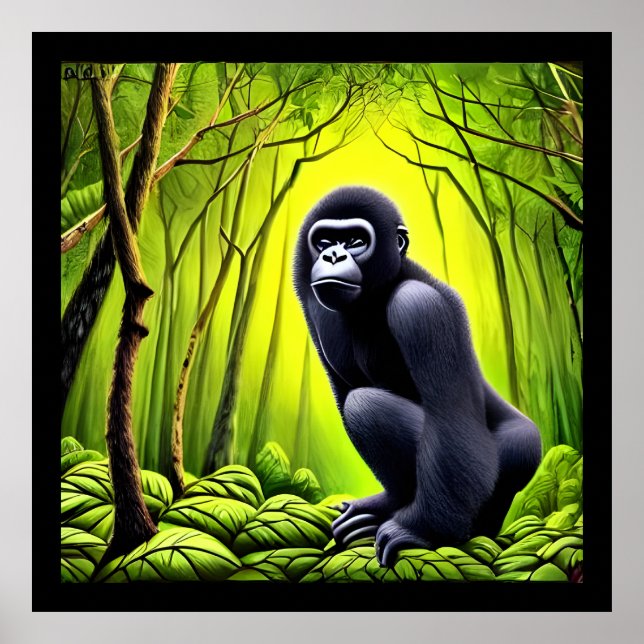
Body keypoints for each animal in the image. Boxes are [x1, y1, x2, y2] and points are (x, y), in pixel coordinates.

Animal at [293, 186, 541, 567]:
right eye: (324, 241)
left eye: (355, 241)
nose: (333, 256)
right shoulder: (313, 304)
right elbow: (344, 388)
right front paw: (387, 505)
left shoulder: (420, 307)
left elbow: (451, 424)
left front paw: (417, 531)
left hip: (516, 457)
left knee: (367, 406)